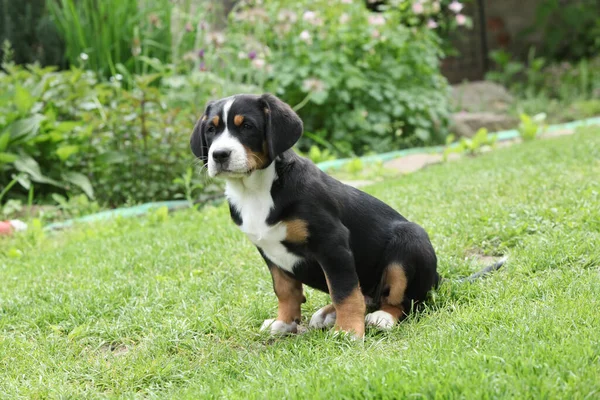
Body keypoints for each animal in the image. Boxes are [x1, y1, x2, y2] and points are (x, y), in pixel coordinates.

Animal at [190, 94, 438, 338]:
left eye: (247, 126)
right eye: (211, 130)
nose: (219, 155)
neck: (254, 191)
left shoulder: (331, 242)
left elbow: (344, 290)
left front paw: (348, 331)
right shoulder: (268, 251)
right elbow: (285, 290)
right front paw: (284, 323)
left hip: (410, 239)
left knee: (404, 301)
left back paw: (382, 317)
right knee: (369, 296)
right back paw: (328, 314)